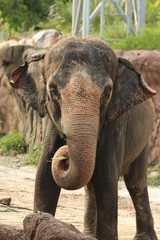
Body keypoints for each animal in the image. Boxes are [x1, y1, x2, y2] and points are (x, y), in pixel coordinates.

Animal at [10, 37, 158, 240]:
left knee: (135, 184)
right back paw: (88, 234)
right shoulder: (52, 126)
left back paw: (144, 236)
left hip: (144, 141)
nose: (65, 154)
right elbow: (44, 178)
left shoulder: (114, 127)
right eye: (53, 90)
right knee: (91, 188)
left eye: (107, 91)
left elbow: (107, 181)